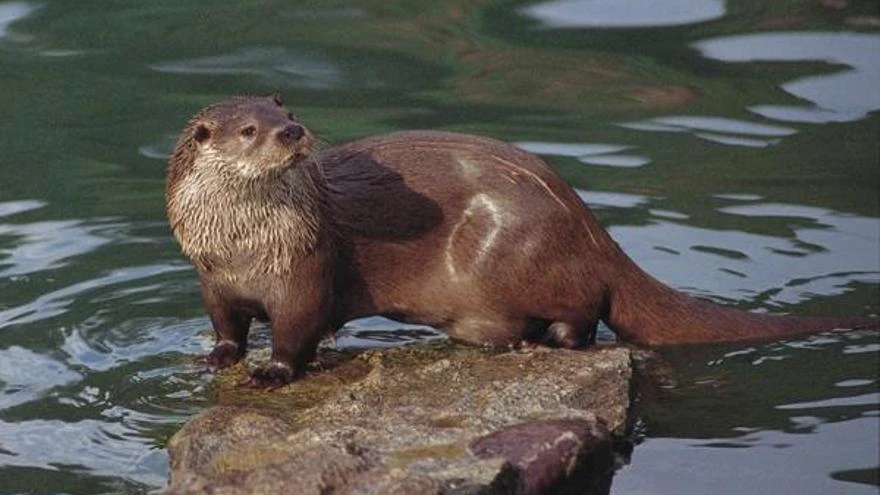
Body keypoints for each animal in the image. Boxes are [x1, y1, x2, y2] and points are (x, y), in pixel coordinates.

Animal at [167, 94, 880, 388]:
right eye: (250, 130)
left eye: (287, 114)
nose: (293, 132)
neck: (242, 246)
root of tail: (587, 223)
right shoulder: (210, 278)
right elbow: (226, 324)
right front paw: (218, 358)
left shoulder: (306, 269)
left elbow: (298, 329)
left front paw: (273, 372)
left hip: (515, 250)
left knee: (587, 312)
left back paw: (551, 341)